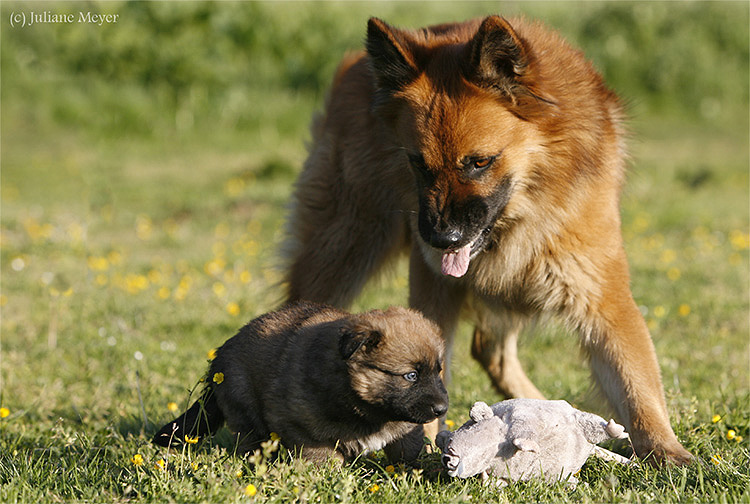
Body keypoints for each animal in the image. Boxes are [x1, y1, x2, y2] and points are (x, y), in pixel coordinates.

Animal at [152, 302, 446, 462]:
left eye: (438, 371)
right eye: (411, 376)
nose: (442, 409)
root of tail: (219, 358)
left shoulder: (406, 426)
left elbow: (407, 449)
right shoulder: (303, 428)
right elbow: (322, 457)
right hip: (246, 410)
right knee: (251, 444)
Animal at [284, 15, 696, 464]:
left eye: (479, 162)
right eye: (417, 163)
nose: (441, 238)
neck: (523, 212)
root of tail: (356, 65)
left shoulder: (604, 297)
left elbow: (636, 382)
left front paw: (669, 453)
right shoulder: (434, 287)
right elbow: (430, 364)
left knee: (490, 349)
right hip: (344, 244)